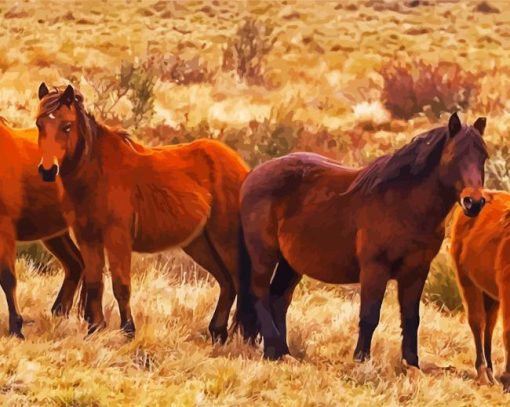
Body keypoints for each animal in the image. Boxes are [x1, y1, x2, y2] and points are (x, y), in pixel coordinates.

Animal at [0, 115, 83, 338]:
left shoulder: (5, 229)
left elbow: (8, 278)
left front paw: (16, 329)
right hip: (54, 233)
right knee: (75, 263)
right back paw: (59, 313)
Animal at [237, 112, 488, 366]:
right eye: (455, 155)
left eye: (483, 157)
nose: (473, 202)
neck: (404, 204)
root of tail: (252, 175)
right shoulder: (374, 268)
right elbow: (369, 315)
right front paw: (361, 359)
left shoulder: (416, 271)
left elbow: (411, 318)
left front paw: (411, 363)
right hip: (264, 256)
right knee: (260, 294)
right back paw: (272, 349)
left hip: (290, 263)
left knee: (279, 299)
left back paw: (284, 352)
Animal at [452, 190, 508, 392]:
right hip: (467, 280)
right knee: (478, 322)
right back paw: (483, 373)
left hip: (491, 294)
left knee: (489, 326)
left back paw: (491, 372)